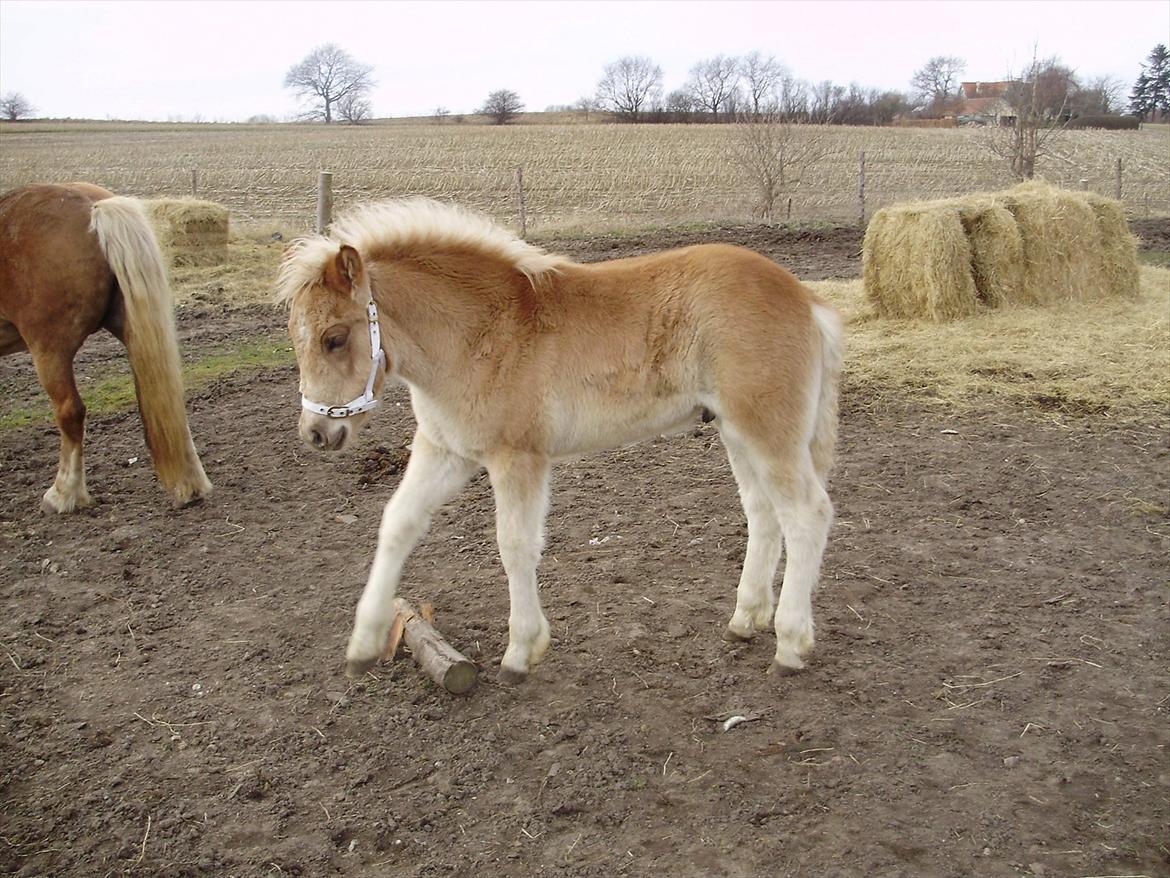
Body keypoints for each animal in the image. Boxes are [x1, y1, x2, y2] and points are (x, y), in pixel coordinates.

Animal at [280, 201, 851, 688]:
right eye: (294, 337)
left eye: (335, 338)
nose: (316, 433)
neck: (480, 331)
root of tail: (807, 299)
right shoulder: (447, 451)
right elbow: (396, 524)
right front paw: (363, 644)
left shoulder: (518, 457)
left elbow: (515, 546)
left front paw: (521, 652)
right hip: (736, 430)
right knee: (763, 513)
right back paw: (745, 619)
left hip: (767, 428)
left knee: (807, 513)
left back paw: (791, 645)